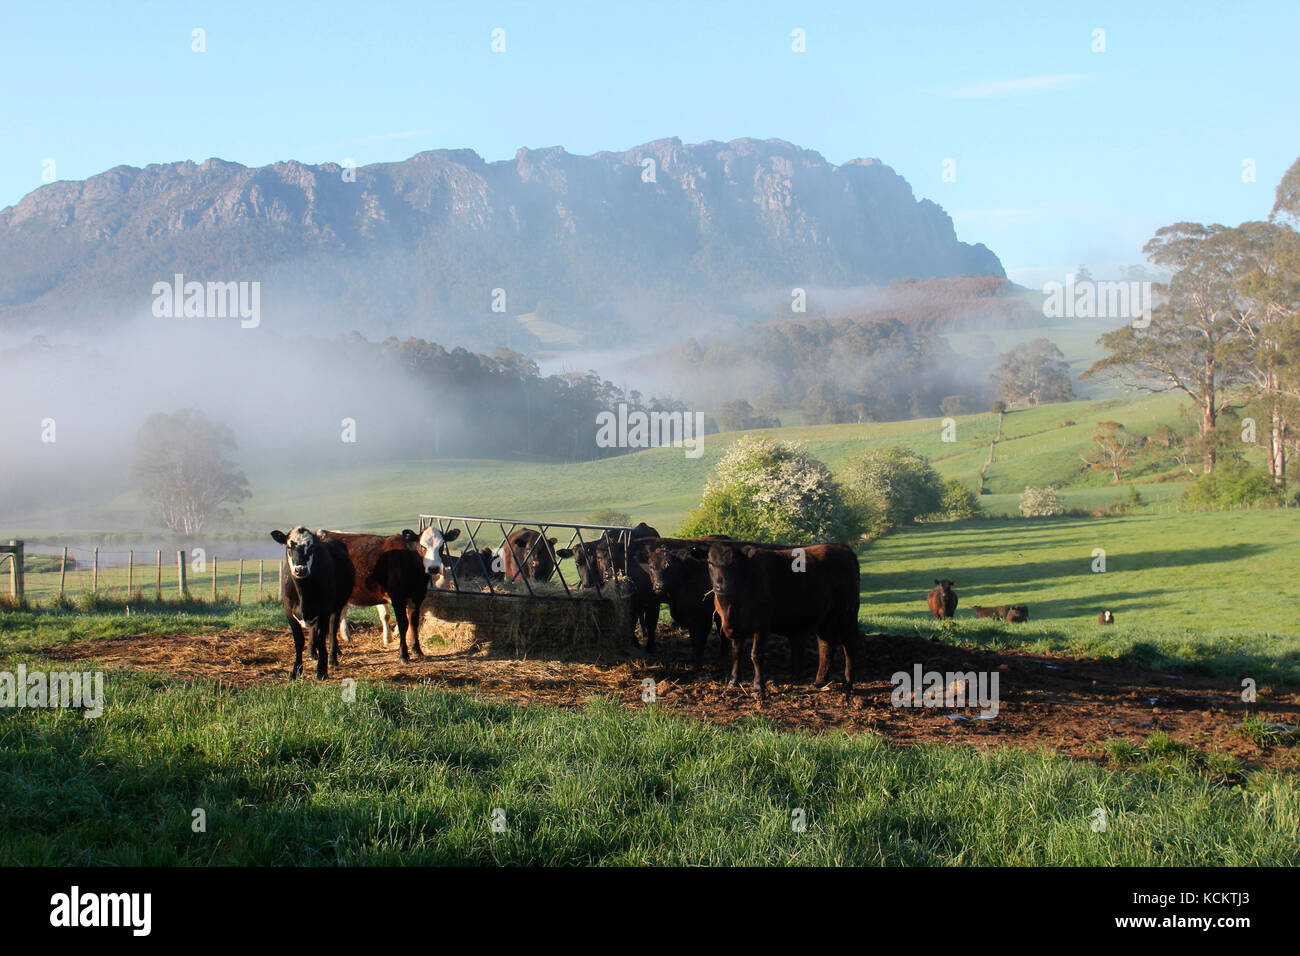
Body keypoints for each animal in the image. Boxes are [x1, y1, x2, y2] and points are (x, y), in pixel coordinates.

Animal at [707, 541, 857, 697]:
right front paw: (734, 681)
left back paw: (848, 683)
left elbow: (756, 655)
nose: (721, 585)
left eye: (734, 563)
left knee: (850, 647)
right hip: (824, 618)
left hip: (847, 615)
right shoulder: (736, 627)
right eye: (710, 562)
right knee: (826, 646)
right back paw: (820, 682)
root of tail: (841, 547)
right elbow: (736, 653)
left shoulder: (761, 625)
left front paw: (759, 687)